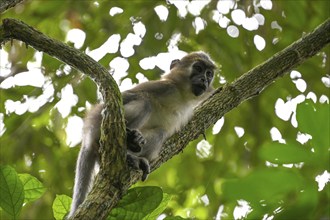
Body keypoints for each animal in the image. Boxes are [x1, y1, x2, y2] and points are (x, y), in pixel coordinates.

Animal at [67, 51, 217, 218]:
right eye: (198, 68)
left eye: (209, 74)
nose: (204, 79)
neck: (182, 96)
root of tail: (87, 138)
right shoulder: (165, 87)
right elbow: (124, 96)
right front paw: (107, 110)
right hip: (97, 128)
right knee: (145, 102)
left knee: (160, 132)